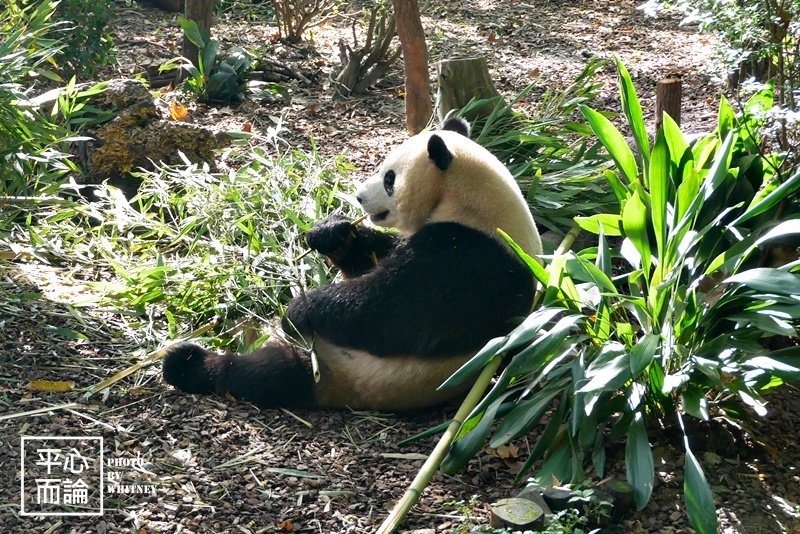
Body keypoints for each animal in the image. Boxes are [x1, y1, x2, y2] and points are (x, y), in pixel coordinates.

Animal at [166, 119, 548, 412]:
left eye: (390, 178)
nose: (359, 196)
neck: (476, 204)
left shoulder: (470, 259)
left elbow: (389, 313)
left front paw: (299, 310)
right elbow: (374, 256)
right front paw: (331, 233)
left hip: (339, 373)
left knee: (271, 373)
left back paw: (189, 364)